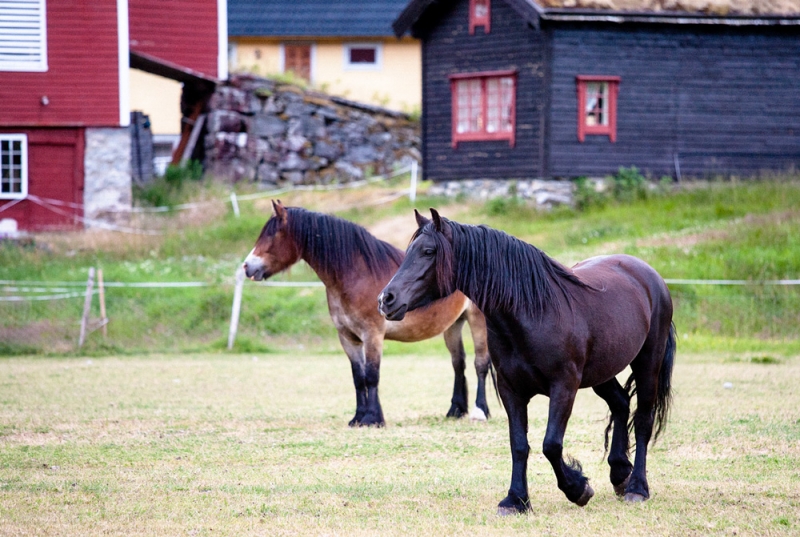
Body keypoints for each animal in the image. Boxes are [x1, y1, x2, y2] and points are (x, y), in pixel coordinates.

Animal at [244, 201, 494, 428]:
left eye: (272, 235)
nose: (247, 266)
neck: (356, 275)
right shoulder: (348, 337)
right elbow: (358, 377)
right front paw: (358, 417)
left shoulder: (372, 334)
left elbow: (372, 375)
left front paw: (373, 419)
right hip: (453, 325)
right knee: (458, 363)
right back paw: (455, 410)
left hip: (477, 321)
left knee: (480, 363)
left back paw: (480, 412)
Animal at [380, 208, 676, 510]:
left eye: (428, 251)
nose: (386, 299)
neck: (533, 312)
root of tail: (649, 274)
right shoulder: (511, 390)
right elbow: (519, 444)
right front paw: (516, 500)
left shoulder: (564, 387)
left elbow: (551, 444)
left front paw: (578, 489)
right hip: (601, 373)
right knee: (621, 404)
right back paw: (619, 474)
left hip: (647, 363)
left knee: (643, 420)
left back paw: (637, 488)